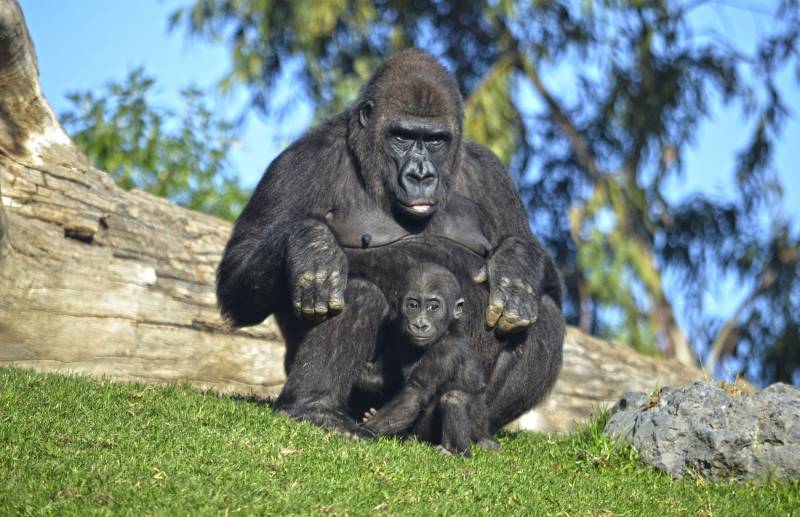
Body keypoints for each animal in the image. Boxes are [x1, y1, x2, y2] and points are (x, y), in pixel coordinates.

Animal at [358, 264, 496, 454]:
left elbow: (415, 393)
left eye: (433, 308)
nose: (420, 324)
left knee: (454, 400)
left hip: (476, 435)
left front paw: (362, 431)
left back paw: (453, 451)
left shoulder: (446, 351)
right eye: (413, 305)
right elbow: (387, 378)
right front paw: (364, 376)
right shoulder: (396, 333)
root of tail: (486, 437)